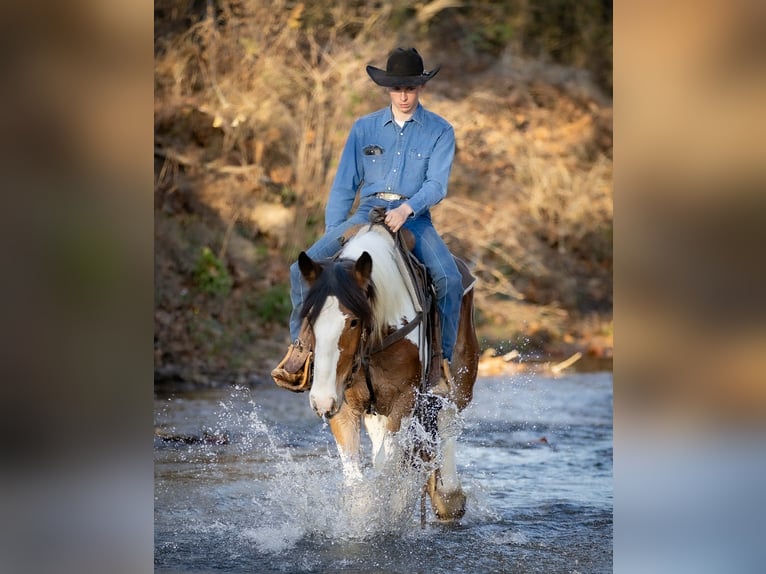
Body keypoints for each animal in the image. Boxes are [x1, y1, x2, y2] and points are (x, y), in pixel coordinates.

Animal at [293, 221, 479, 522]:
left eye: (354, 321)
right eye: (309, 317)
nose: (320, 399)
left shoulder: (404, 399)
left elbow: (388, 463)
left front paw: (390, 513)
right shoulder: (344, 404)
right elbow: (356, 471)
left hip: (460, 379)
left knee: (448, 417)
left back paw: (449, 496)